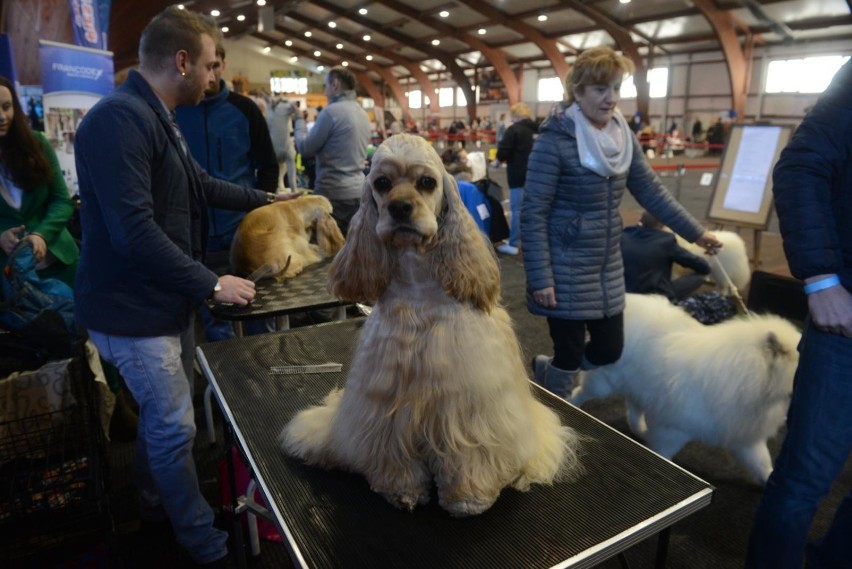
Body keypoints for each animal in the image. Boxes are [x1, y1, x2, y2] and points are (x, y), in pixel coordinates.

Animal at [280, 134, 580, 516]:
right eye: (382, 183)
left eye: (426, 182)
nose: (400, 208)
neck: (417, 282)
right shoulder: (385, 401)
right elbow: (393, 453)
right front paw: (401, 490)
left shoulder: (467, 403)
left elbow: (471, 455)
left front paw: (468, 497)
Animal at [572, 292, 800, 484]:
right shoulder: (675, 429)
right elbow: (664, 453)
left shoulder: (743, 435)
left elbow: (762, 462)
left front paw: (769, 481)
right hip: (604, 384)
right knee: (581, 393)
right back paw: (571, 402)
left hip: (640, 386)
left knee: (633, 407)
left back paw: (641, 430)